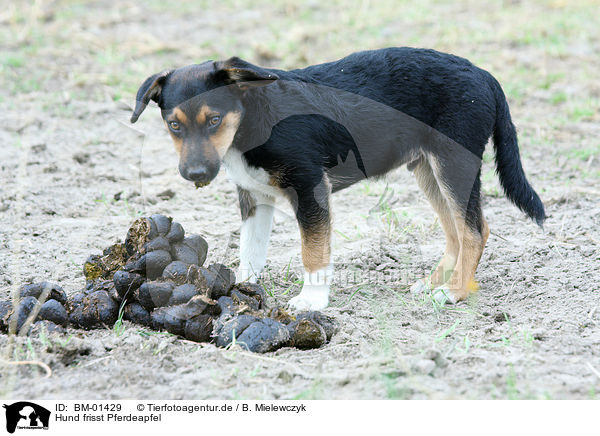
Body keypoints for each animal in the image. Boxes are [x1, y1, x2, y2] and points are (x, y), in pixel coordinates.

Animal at [134, 47, 548, 310]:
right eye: (174, 126)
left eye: (215, 120)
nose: (195, 174)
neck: (254, 119)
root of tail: (485, 74)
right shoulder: (255, 198)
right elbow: (251, 251)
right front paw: (242, 288)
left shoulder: (310, 189)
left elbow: (313, 252)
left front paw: (312, 301)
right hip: (428, 170)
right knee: (455, 232)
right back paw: (435, 283)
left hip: (453, 164)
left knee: (474, 231)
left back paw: (454, 293)